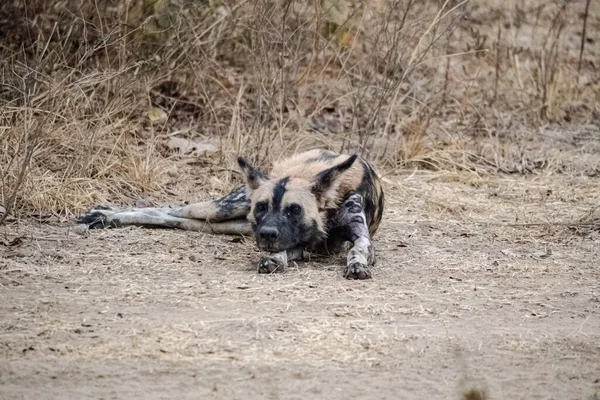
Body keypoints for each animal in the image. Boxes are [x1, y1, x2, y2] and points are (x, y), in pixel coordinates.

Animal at [77, 148, 384, 280]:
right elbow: (284, 251)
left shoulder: (357, 239)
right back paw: (104, 215)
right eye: (262, 207)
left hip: (227, 223)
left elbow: (356, 250)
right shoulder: (300, 243)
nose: (267, 234)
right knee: (170, 210)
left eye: (294, 210)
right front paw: (274, 260)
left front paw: (357, 266)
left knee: (178, 219)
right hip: (226, 209)